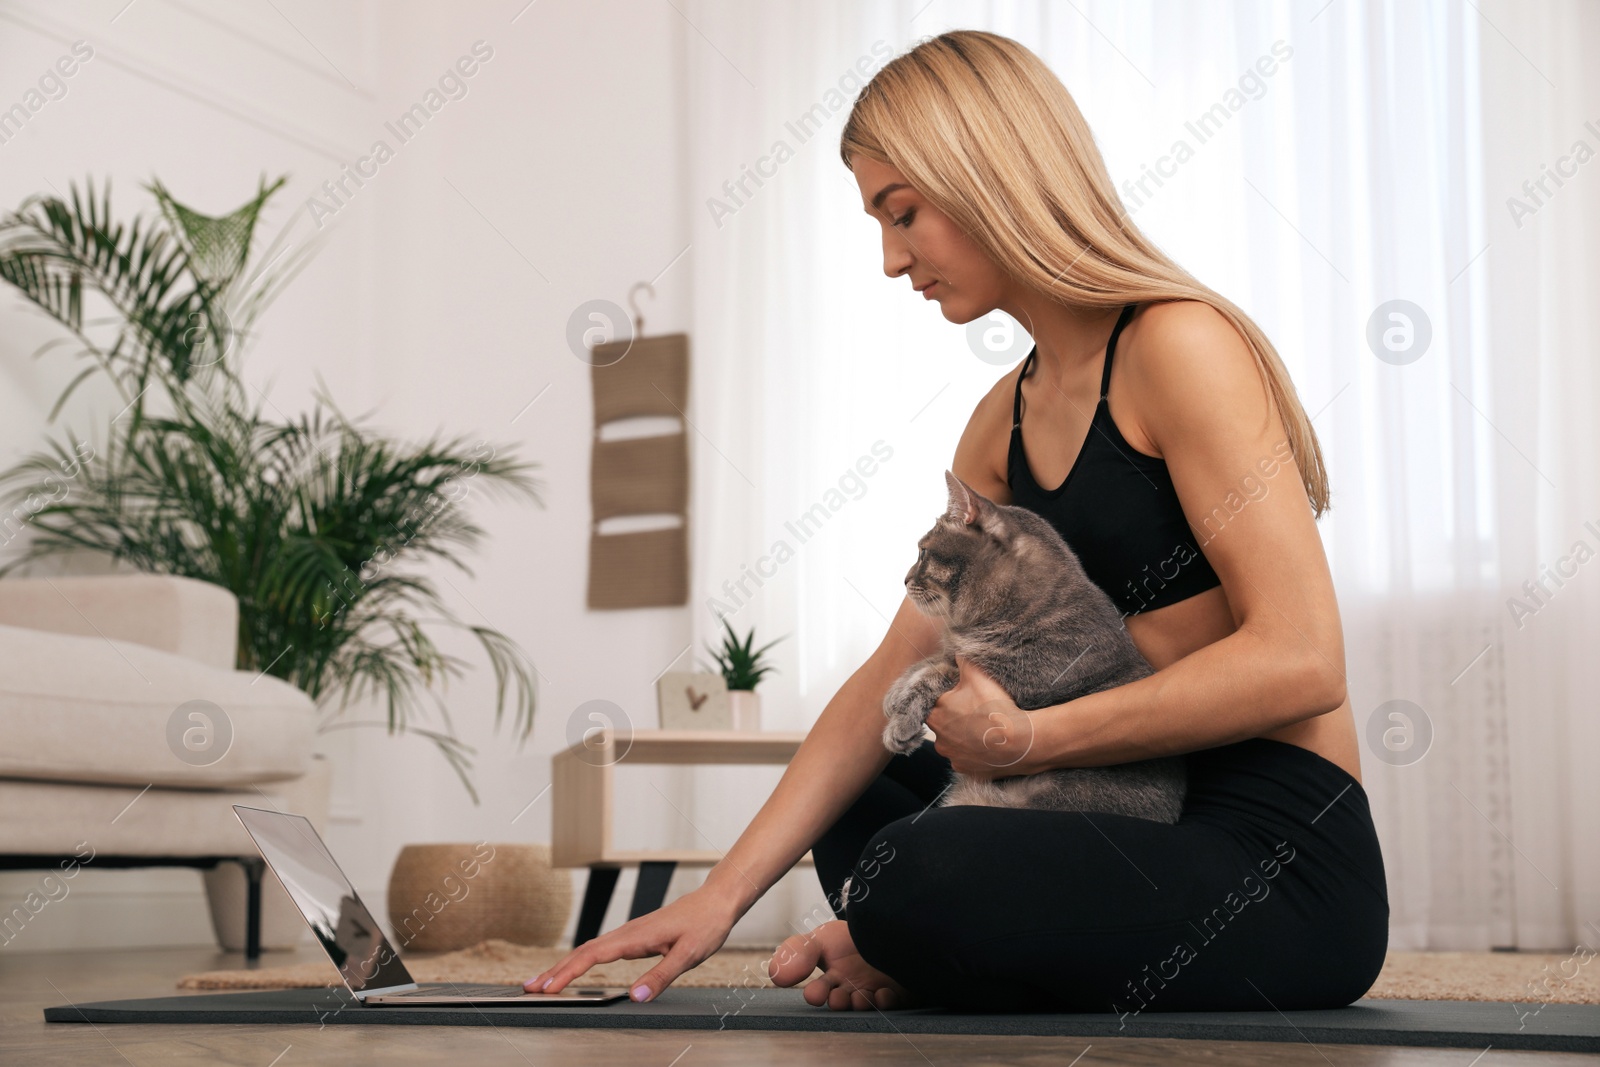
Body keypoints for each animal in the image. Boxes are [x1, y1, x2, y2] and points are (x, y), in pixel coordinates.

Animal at [883, 467, 1184, 819]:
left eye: (922, 552)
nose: (904, 579)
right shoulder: (958, 652)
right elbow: (930, 662)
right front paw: (894, 694)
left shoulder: (1017, 684)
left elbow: (938, 673)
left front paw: (900, 721)